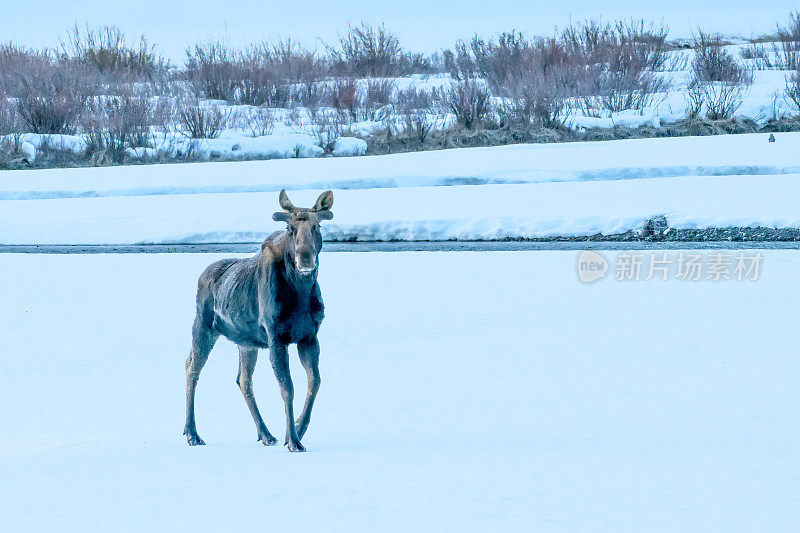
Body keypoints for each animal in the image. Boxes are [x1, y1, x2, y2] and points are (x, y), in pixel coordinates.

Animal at [184, 187, 334, 448]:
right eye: (290, 228)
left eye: (317, 226)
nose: (305, 257)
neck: (301, 292)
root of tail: (202, 276)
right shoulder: (276, 338)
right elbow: (287, 388)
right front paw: (293, 441)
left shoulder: (309, 336)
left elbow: (314, 382)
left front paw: (297, 429)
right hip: (203, 326)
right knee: (192, 368)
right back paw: (192, 433)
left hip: (246, 343)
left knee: (243, 380)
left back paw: (266, 434)